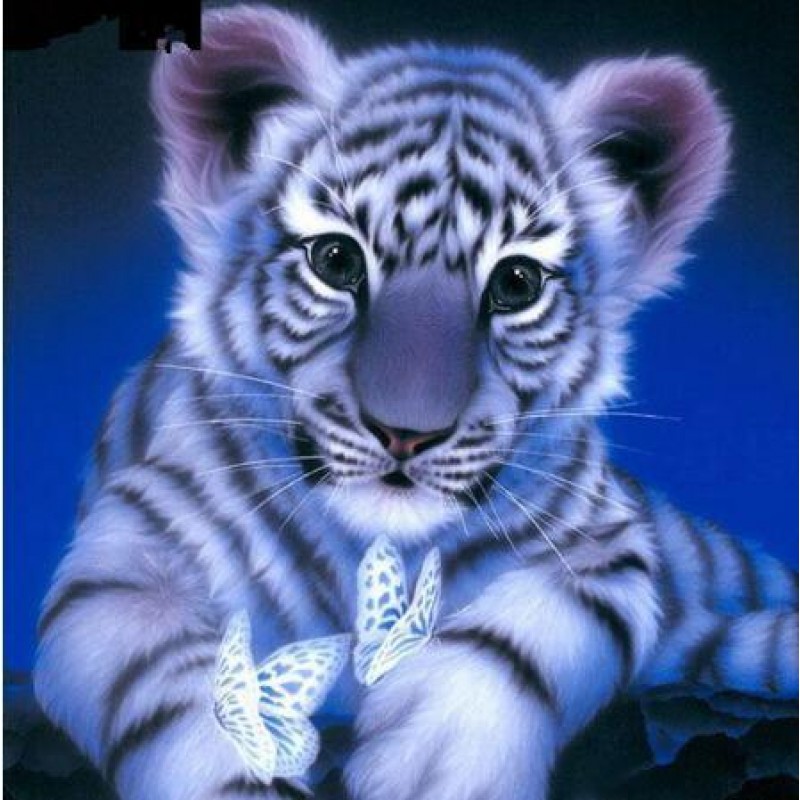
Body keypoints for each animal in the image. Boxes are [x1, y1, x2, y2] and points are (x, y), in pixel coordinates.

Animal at [33, 5, 798, 800]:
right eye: (335, 260)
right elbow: (180, 685)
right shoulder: (126, 557)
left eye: (517, 282)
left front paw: (439, 760)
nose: (405, 434)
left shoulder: (606, 545)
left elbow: (521, 634)